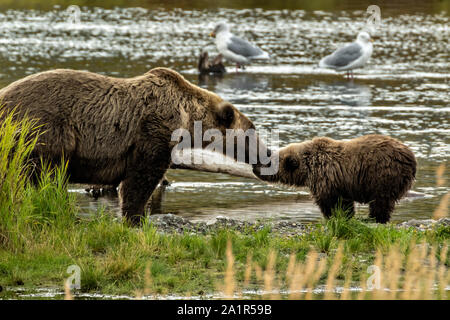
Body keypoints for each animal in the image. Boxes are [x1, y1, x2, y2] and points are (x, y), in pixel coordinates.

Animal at [0, 67, 268, 222]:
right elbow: (140, 180)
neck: (187, 117)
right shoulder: (152, 131)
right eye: (252, 130)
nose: (267, 156)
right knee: (38, 174)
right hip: (42, 130)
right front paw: (136, 214)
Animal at [255, 134, 416, 222]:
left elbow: (329, 201)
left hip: (383, 174)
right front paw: (346, 216)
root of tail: (411, 157)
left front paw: (332, 216)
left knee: (381, 201)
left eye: (268, 162)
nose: (255, 167)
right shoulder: (342, 183)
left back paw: (374, 218)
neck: (308, 167)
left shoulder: (327, 178)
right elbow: (345, 203)